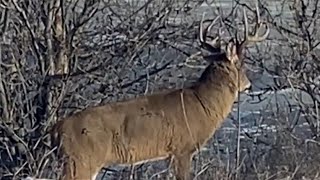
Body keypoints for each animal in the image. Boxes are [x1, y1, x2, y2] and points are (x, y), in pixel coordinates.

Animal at [51, 3, 268, 180]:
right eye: (241, 64)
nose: (249, 85)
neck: (203, 104)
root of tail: (56, 130)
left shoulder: (170, 154)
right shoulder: (183, 148)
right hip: (79, 161)